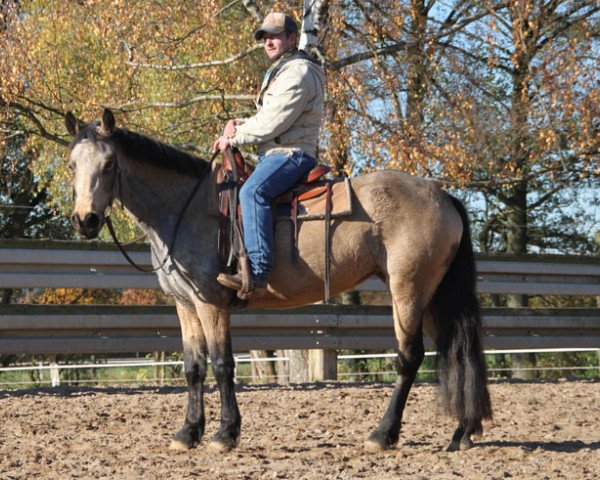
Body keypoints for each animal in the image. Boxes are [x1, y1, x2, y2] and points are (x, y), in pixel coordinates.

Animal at [64, 109, 492, 454]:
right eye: (71, 164)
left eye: (108, 164)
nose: (85, 220)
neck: (186, 210)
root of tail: (442, 195)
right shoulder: (185, 304)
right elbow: (193, 367)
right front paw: (188, 433)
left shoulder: (211, 303)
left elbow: (221, 364)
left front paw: (225, 434)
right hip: (433, 294)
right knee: (456, 349)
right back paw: (462, 432)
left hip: (408, 290)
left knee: (410, 356)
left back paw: (382, 434)